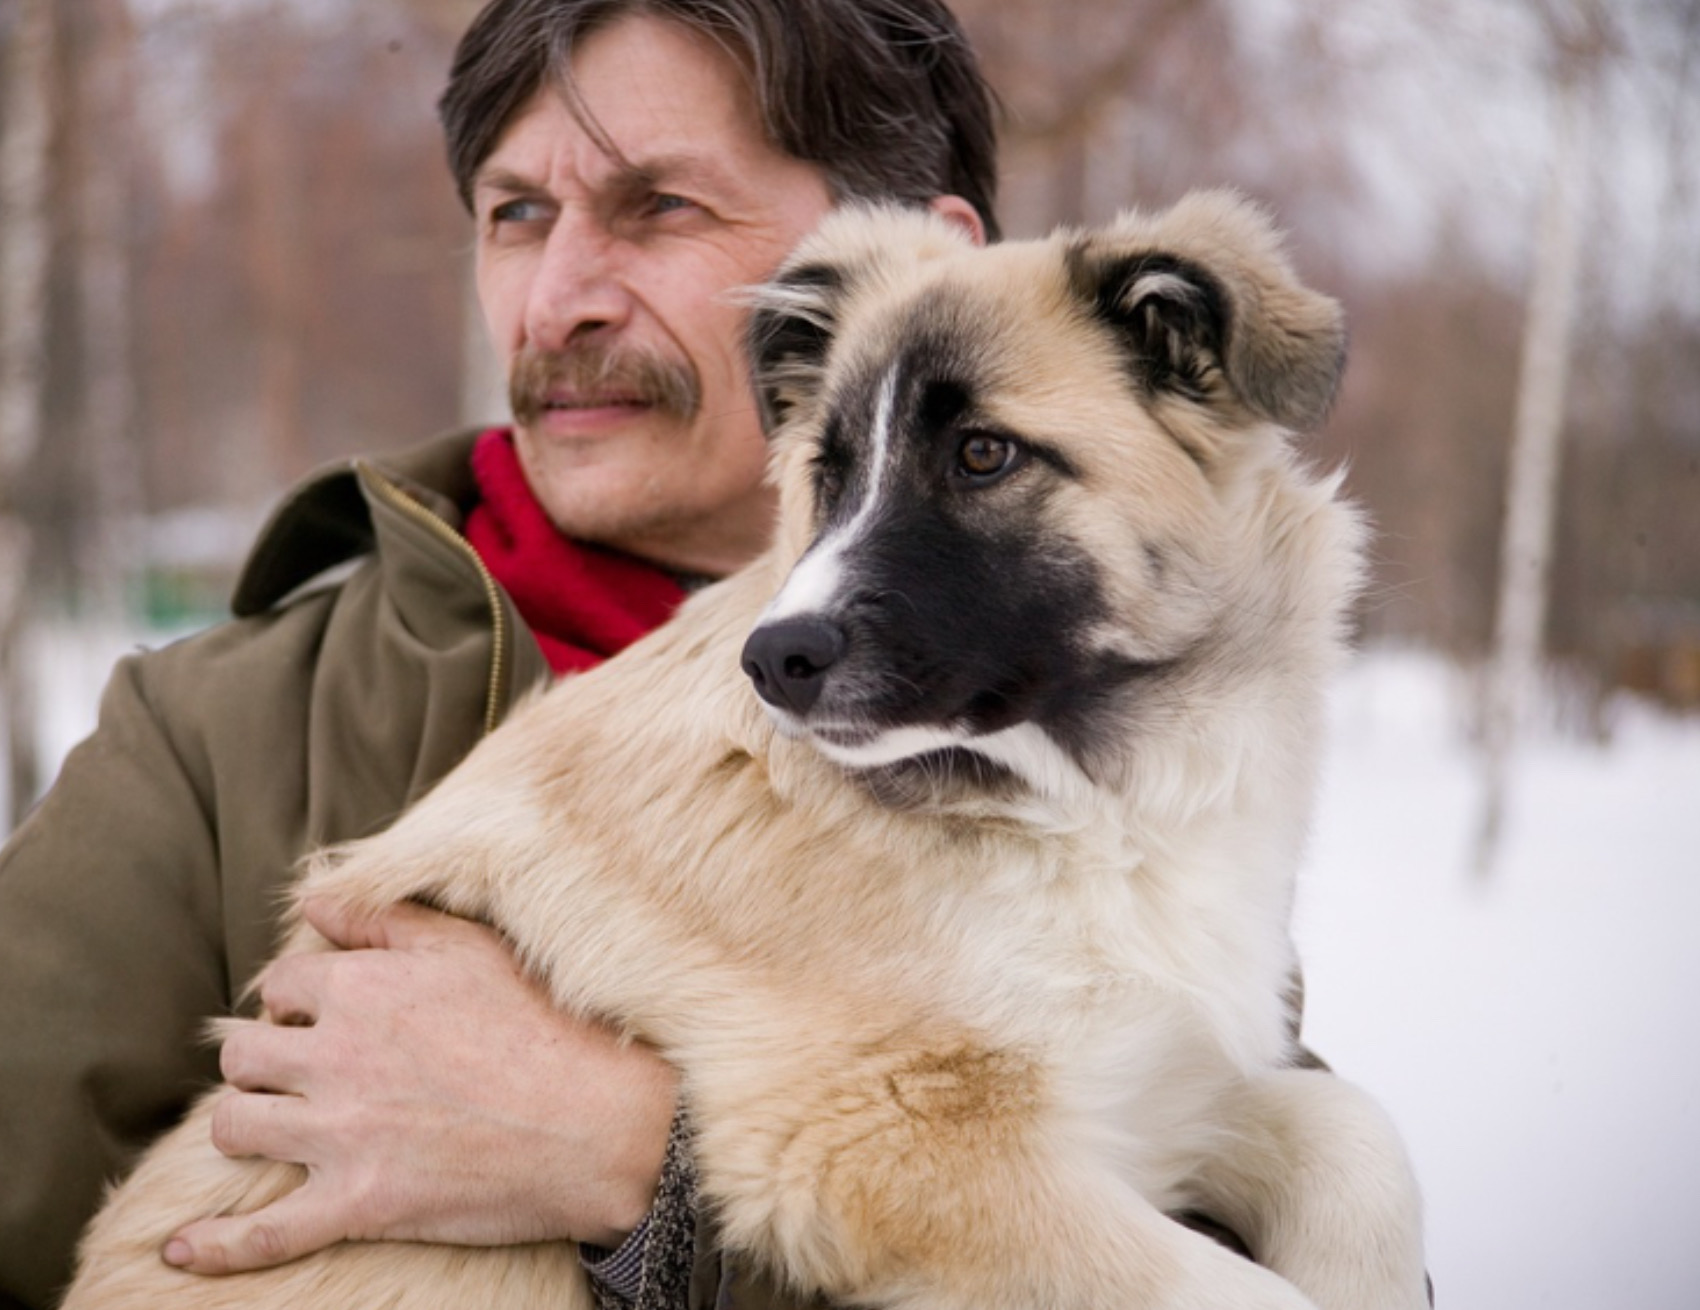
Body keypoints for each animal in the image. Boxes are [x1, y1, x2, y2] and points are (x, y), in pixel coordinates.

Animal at [62, 191, 1421, 1310]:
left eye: (982, 454)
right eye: (829, 472)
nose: (775, 660)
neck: (1077, 801)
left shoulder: (1147, 1084)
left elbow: (1356, 1142)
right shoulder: (887, 1142)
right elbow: (1255, 1280)